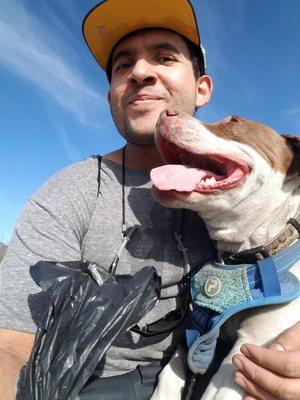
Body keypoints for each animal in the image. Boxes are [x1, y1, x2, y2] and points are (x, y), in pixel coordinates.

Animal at [149, 110, 300, 400]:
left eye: (235, 121)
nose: (165, 112)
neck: (241, 256)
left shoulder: (251, 350)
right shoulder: (198, 329)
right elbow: (169, 374)